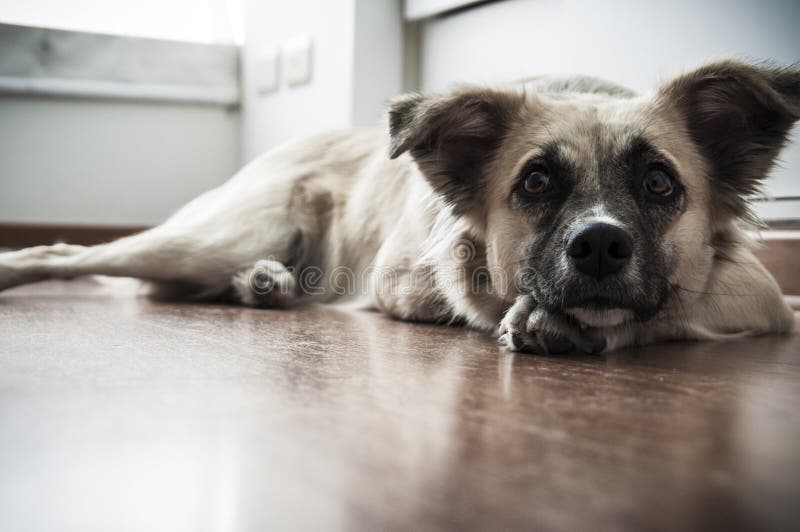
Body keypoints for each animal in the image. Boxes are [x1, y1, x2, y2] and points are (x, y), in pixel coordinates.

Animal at [0, 60, 796, 354]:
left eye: (660, 184)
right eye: (536, 182)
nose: (599, 246)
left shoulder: (757, 288)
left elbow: (683, 301)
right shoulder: (399, 279)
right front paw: (538, 318)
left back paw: (264, 285)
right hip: (217, 235)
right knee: (68, 253)